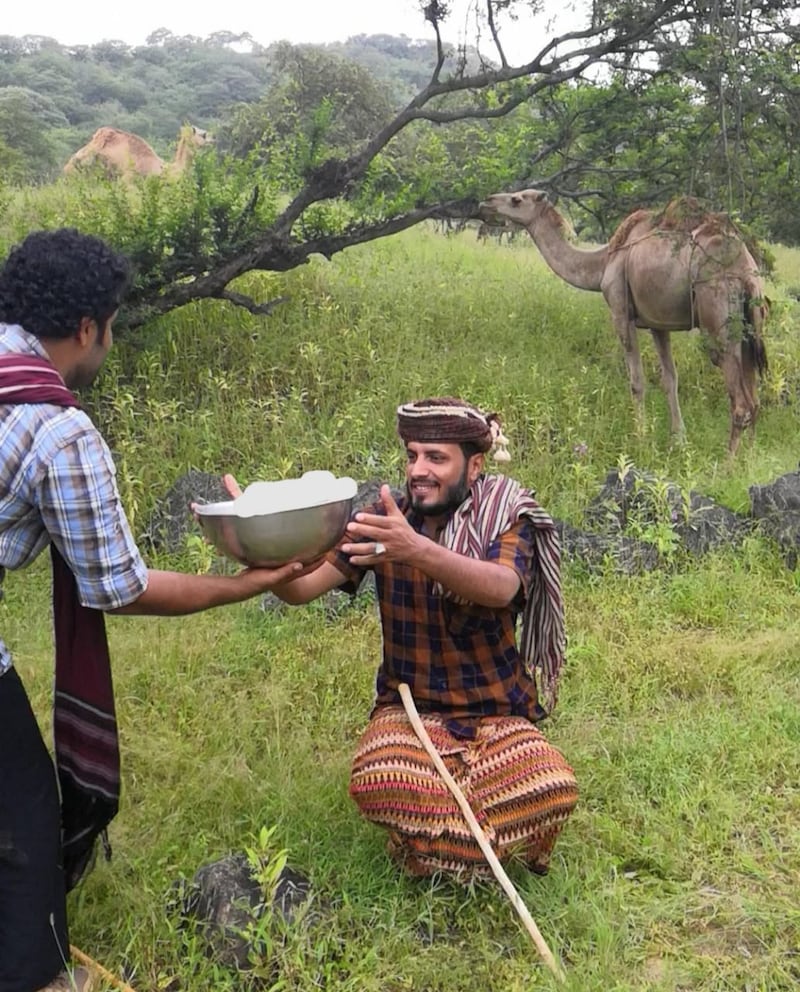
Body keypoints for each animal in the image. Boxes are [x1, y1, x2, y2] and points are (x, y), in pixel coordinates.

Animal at [478, 189, 764, 454]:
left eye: (516, 199)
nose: (486, 202)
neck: (603, 262)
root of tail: (746, 272)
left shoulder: (620, 311)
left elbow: (637, 381)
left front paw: (640, 438)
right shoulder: (658, 322)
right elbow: (670, 380)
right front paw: (679, 441)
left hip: (717, 315)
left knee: (740, 401)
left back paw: (728, 464)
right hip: (750, 326)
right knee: (754, 398)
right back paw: (749, 458)